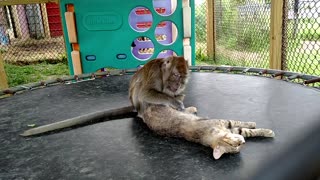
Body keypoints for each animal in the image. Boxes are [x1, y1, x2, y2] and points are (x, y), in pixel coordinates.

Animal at [20, 56, 189, 136]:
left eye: (183, 78)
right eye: (175, 75)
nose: (177, 85)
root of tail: (134, 106)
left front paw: (178, 97)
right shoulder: (155, 73)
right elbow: (146, 92)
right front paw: (174, 102)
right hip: (138, 102)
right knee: (141, 90)